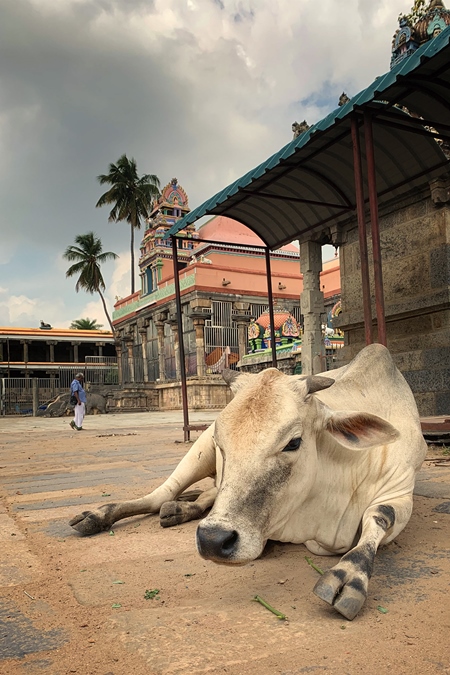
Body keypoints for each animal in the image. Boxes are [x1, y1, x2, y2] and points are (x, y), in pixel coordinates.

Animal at [69, 346, 426, 620]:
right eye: (221, 440)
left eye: (294, 442)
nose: (213, 540)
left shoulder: (399, 491)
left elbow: (379, 516)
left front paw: (349, 576)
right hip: (197, 452)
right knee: (162, 494)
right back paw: (100, 515)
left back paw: (181, 508)